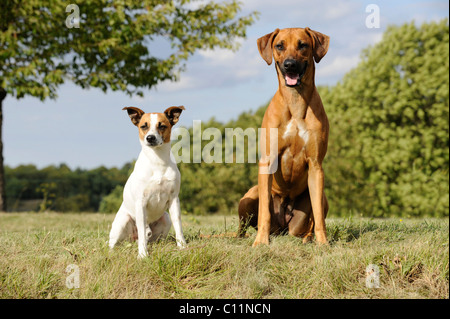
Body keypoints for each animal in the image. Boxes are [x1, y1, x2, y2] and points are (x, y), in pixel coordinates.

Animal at [109, 106, 186, 258]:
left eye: (162, 126)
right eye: (143, 126)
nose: (150, 138)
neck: (157, 161)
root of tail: (132, 239)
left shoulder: (174, 199)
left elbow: (178, 226)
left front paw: (183, 247)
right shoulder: (141, 201)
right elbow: (142, 233)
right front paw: (143, 255)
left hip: (165, 219)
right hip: (122, 222)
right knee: (114, 243)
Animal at [239, 28, 330, 248]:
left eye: (302, 45)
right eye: (279, 45)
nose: (290, 64)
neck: (295, 101)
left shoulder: (316, 165)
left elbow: (318, 216)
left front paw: (323, 243)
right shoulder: (267, 161)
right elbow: (264, 211)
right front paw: (261, 241)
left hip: (321, 198)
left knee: (312, 219)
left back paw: (308, 238)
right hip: (249, 197)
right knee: (242, 228)